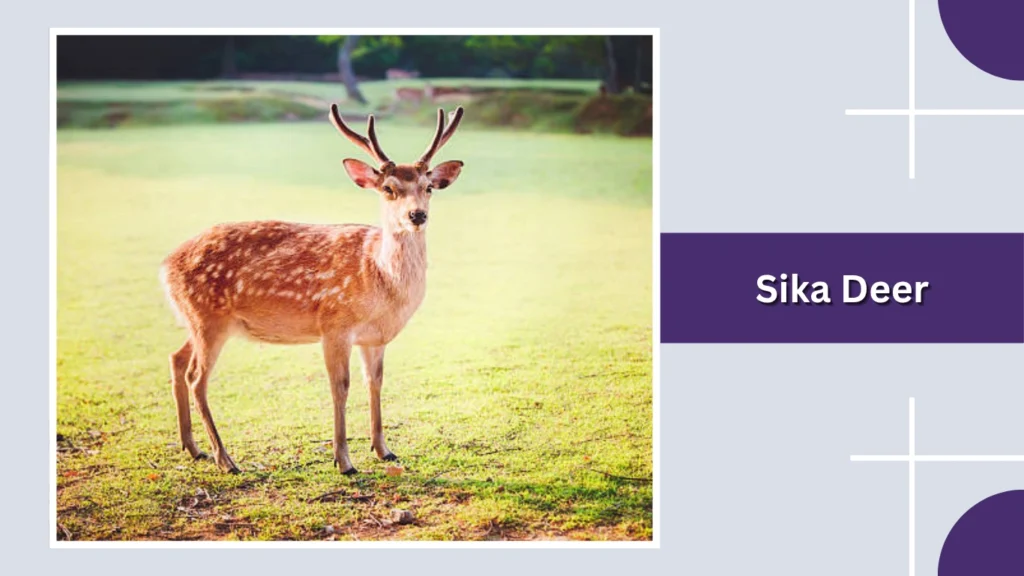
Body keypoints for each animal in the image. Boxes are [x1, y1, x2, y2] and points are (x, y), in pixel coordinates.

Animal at [159, 104, 465, 476]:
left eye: (429, 187)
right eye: (388, 188)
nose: (417, 215)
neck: (381, 280)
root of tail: (165, 265)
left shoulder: (374, 338)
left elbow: (375, 382)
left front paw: (383, 450)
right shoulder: (334, 324)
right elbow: (340, 386)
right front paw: (344, 460)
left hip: (197, 319)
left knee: (176, 359)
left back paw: (193, 448)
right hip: (207, 318)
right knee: (196, 378)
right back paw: (225, 459)